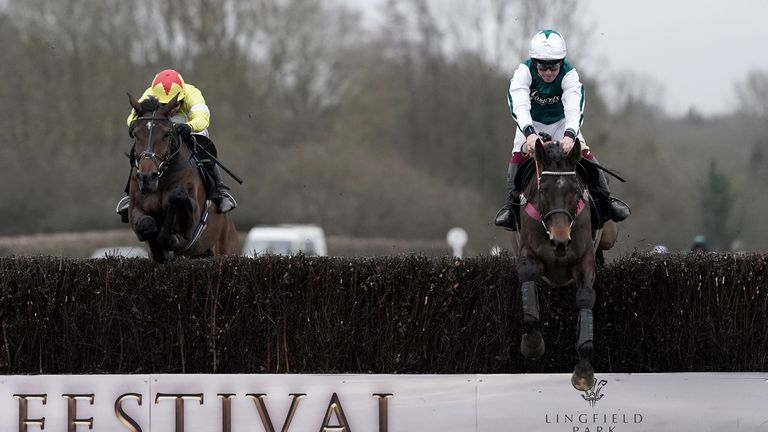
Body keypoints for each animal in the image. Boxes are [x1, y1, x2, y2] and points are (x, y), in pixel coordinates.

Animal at [126, 94, 237, 264]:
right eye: (135, 133)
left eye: (167, 134)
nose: (147, 177)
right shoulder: (135, 210)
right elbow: (146, 224)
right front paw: (158, 247)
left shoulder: (192, 222)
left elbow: (176, 199)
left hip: (226, 249)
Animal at [512, 138, 616, 392]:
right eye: (543, 191)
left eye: (575, 191)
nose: (560, 241)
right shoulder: (529, 251)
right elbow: (528, 274)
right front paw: (532, 343)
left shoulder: (584, 258)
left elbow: (586, 297)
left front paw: (584, 371)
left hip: (608, 236)